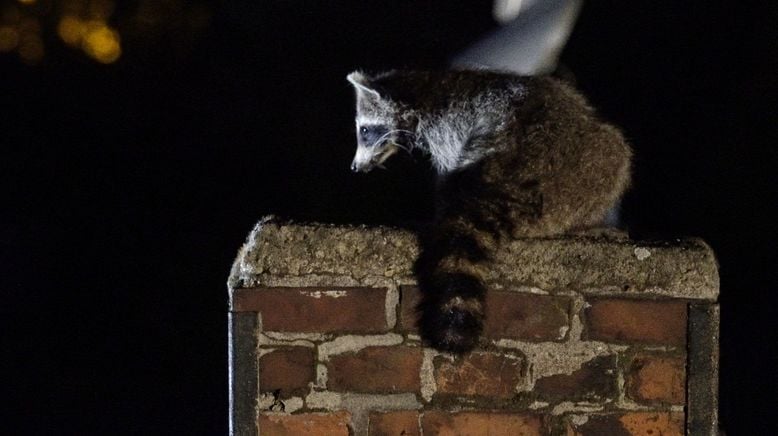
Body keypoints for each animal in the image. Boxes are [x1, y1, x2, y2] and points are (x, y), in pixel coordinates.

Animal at [348, 69, 632, 354]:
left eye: (364, 130)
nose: (355, 167)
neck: (422, 90)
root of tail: (511, 178)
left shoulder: (447, 126)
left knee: (617, 151)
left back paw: (584, 223)